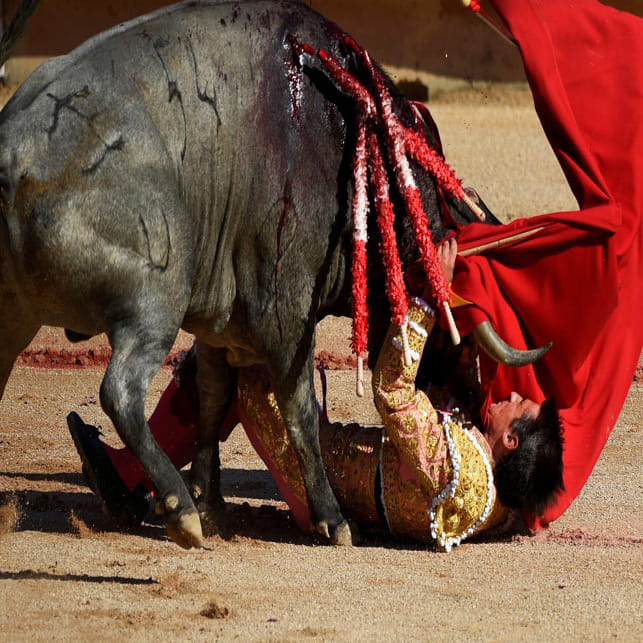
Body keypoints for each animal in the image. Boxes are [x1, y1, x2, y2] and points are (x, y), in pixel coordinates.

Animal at [0, 0, 535, 548]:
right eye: (462, 343)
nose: (465, 408)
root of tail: (12, 151)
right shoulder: (286, 317)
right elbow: (298, 411)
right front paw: (332, 519)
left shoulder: (219, 321)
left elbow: (212, 394)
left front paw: (213, 504)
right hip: (154, 302)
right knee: (121, 390)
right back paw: (178, 509)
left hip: (17, 316)